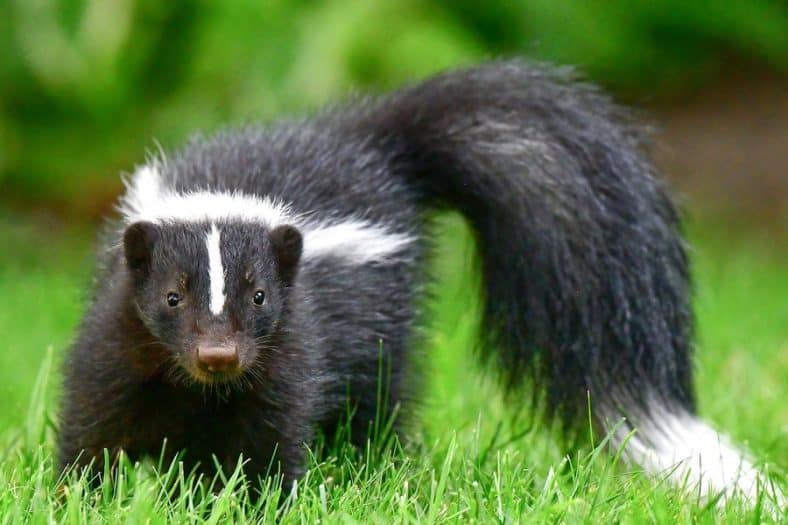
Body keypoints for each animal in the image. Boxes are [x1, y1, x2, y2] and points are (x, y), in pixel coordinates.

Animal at [60, 60, 776, 500]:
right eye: (172, 296)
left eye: (259, 295)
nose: (218, 354)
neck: (199, 388)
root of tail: (379, 143)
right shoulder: (122, 337)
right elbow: (96, 425)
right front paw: (80, 496)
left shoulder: (291, 345)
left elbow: (268, 443)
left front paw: (258, 501)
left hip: (385, 319)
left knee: (380, 402)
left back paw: (375, 468)